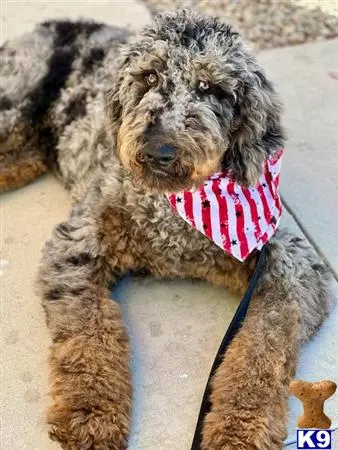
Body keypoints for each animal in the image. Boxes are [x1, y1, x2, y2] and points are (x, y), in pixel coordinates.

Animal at [0, 8, 332, 448]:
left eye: (209, 87)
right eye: (149, 77)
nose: (159, 150)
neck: (178, 210)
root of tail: (57, 22)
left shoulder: (290, 264)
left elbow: (262, 344)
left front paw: (240, 428)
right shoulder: (76, 243)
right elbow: (89, 331)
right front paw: (91, 414)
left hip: (27, 151)